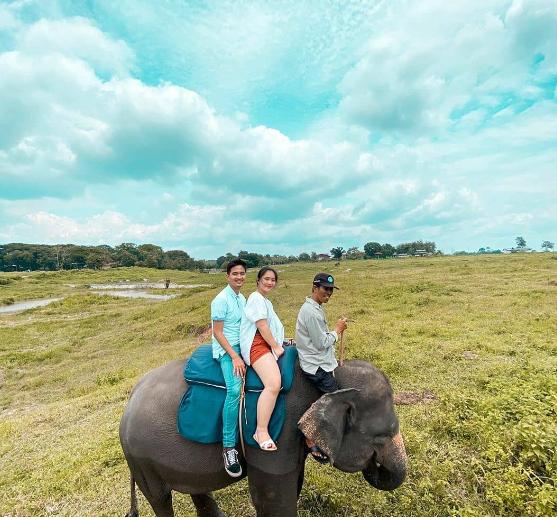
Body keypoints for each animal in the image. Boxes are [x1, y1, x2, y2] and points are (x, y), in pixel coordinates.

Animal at [119, 354, 406, 516]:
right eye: (382, 435)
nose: (376, 463)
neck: (324, 377)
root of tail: (129, 402)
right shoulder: (273, 435)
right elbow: (272, 499)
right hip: (140, 459)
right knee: (160, 499)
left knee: (196, 489)